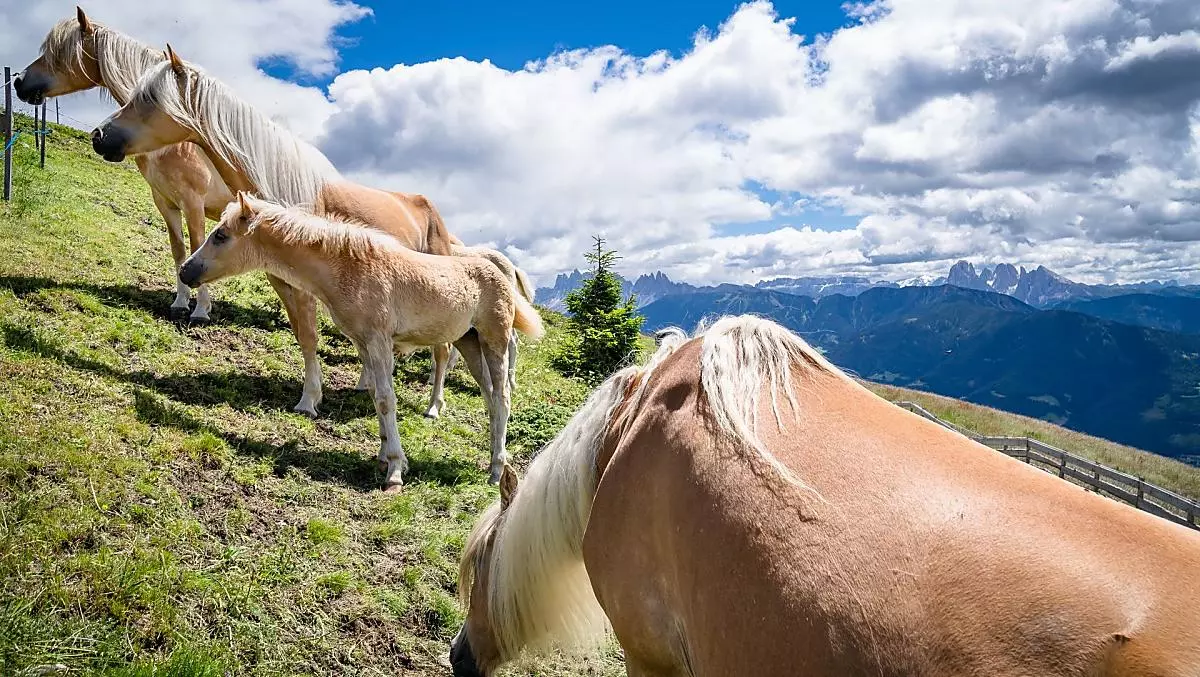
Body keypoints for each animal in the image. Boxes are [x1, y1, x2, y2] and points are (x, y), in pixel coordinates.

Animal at [14, 7, 230, 322]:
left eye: (58, 52)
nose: (19, 81)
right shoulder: (165, 202)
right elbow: (179, 251)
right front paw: (179, 304)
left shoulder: (193, 202)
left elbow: (195, 247)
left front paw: (201, 311)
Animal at [179, 193, 544, 490]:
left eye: (221, 235)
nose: (185, 271)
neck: (351, 269)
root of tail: (501, 271)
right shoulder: (361, 342)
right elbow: (374, 395)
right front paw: (384, 456)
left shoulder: (379, 339)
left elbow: (385, 398)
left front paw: (395, 469)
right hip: (469, 342)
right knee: (490, 397)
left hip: (494, 338)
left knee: (503, 396)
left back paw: (497, 470)